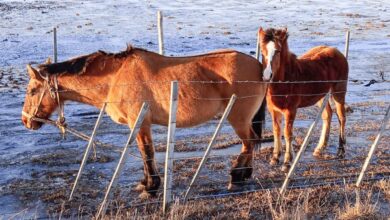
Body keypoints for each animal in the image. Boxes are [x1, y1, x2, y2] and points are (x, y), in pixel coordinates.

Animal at [21, 45, 268, 197]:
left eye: (32, 90)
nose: (26, 121)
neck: (116, 77)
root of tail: (260, 67)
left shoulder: (140, 124)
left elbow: (147, 153)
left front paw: (151, 187)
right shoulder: (140, 125)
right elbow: (144, 154)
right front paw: (145, 183)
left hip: (238, 119)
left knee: (249, 143)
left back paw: (237, 176)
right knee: (250, 144)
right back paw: (244, 174)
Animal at [260, 27, 348, 172]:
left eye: (278, 51)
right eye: (262, 51)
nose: (267, 76)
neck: (286, 80)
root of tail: (337, 52)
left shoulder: (290, 111)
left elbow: (287, 133)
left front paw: (287, 162)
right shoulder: (273, 110)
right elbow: (276, 131)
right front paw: (275, 158)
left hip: (339, 92)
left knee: (341, 117)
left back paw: (341, 151)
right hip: (321, 95)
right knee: (327, 115)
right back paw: (319, 149)